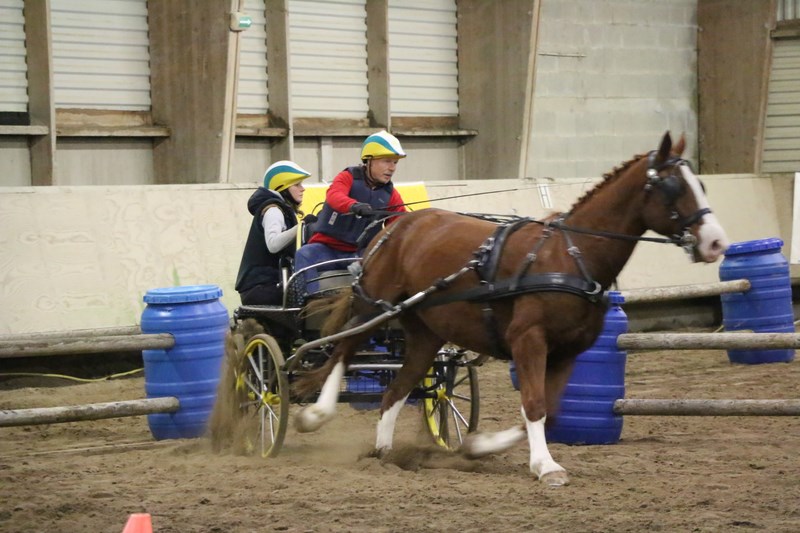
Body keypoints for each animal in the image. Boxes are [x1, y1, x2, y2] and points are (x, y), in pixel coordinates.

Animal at [292, 132, 729, 486]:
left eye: (702, 184)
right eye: (672, 186)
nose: (716, 243)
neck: (571, 256)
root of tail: (395, 227)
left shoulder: (568, 351)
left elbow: (550, 410)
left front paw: (481, 446)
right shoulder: (529, 340)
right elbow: (534, 405)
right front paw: (547, 467)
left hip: (425, 332)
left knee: (397, 389)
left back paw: (383, 453)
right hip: (374, 307)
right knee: (343, 351)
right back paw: (314, 416)